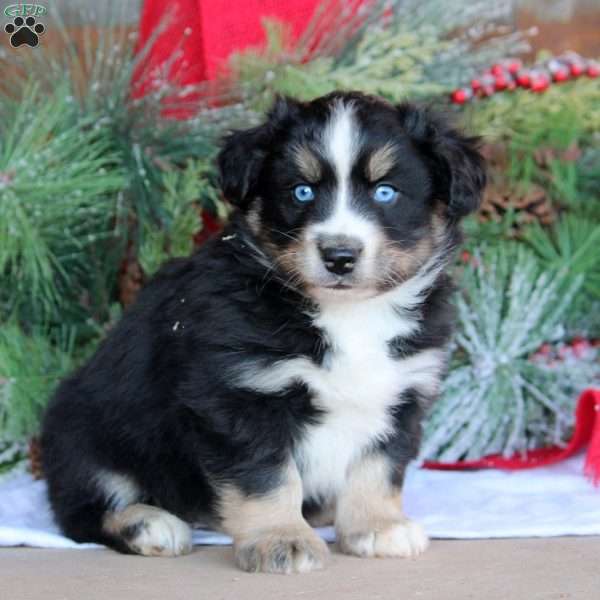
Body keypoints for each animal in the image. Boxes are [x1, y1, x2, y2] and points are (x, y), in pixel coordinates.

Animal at [42, 91, 486, 576]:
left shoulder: (402, 396)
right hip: (85, 437)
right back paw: (150, 524)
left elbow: (379, 466)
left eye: (386, 192)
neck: (347, 316)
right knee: (83, 512)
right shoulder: (240, 393)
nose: (339, 256)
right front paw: (281, 539)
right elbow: (268, 477)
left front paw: (378, 527)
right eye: (301, 190)